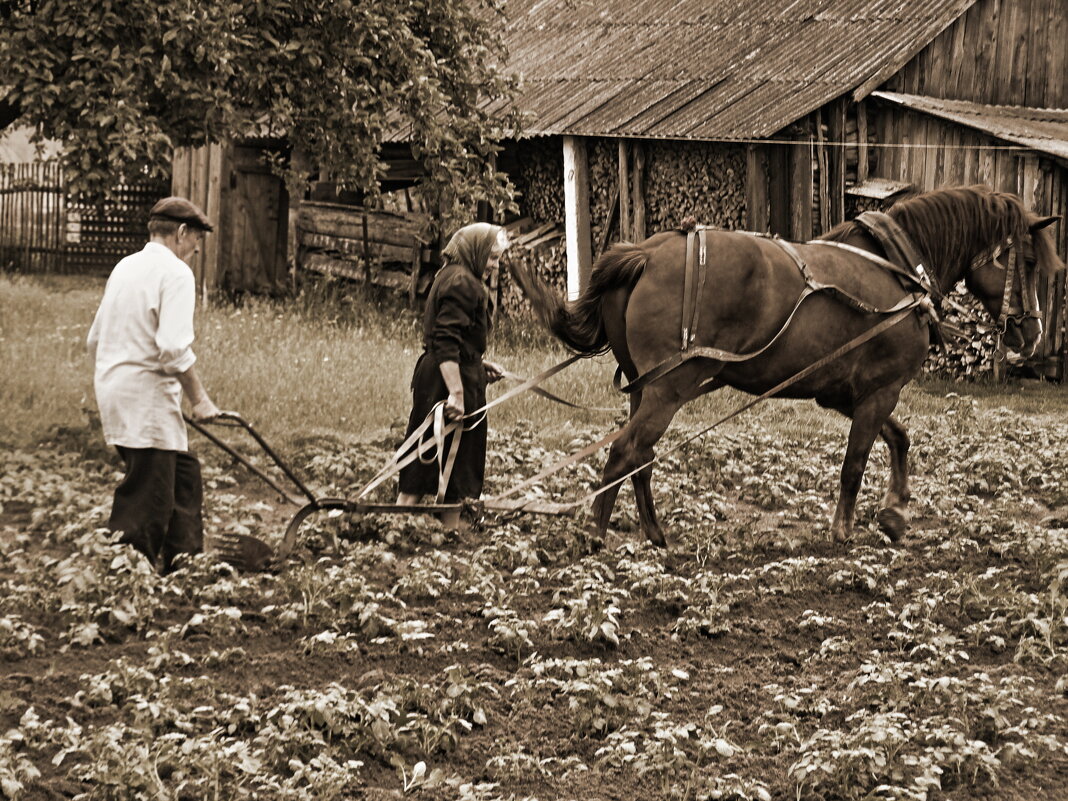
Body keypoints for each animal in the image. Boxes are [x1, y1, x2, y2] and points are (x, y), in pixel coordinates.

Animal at [512, 184, 1063, 546]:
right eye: (1028, 262)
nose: (1033, 335)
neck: (900, 269)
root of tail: (644, 254)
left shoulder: (845, 392)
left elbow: (899, 438)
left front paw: (894, 514)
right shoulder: (881, 389)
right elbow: (855, 462)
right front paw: (843, 531)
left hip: (646, 389)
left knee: (639, 457)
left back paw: (656, 537)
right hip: (668, 389)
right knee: (625, 452)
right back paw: (596, 537)